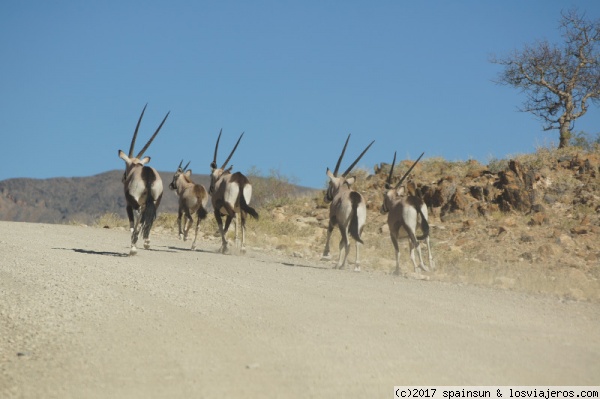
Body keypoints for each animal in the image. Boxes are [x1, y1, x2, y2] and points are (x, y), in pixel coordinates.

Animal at [118, 104, 170, 256]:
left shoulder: (128, 205)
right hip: (156, 201)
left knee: (139, 215)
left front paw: (133, 245)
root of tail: (147, 174)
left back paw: (133, 247)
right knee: (148, 217)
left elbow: (131, 223)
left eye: (126, 165)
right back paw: (146, 242)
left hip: (136, 202)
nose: (123, 178)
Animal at [324, 135, 376, 272]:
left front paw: (326, 254)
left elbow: (329, 233)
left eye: (330, 183)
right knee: (357, 243)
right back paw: (356, 266)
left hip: (343, 225)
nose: (326, 198)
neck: (342, 190)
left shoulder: (332, 219)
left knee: (347, 243)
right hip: (359, 226)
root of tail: (354, 198)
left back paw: (341, 265)